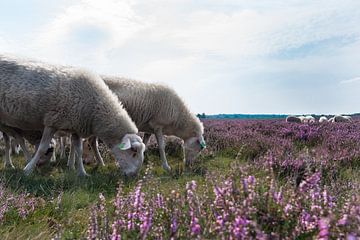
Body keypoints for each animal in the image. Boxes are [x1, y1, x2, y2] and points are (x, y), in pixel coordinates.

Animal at [1, 55, 145, 176]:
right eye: (133, 152)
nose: (133, 176)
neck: (96, 109)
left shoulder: (76, 126)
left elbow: (78, 150)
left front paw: (82, 173)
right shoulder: (52, 121)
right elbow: (42, 148)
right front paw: (28, 170)